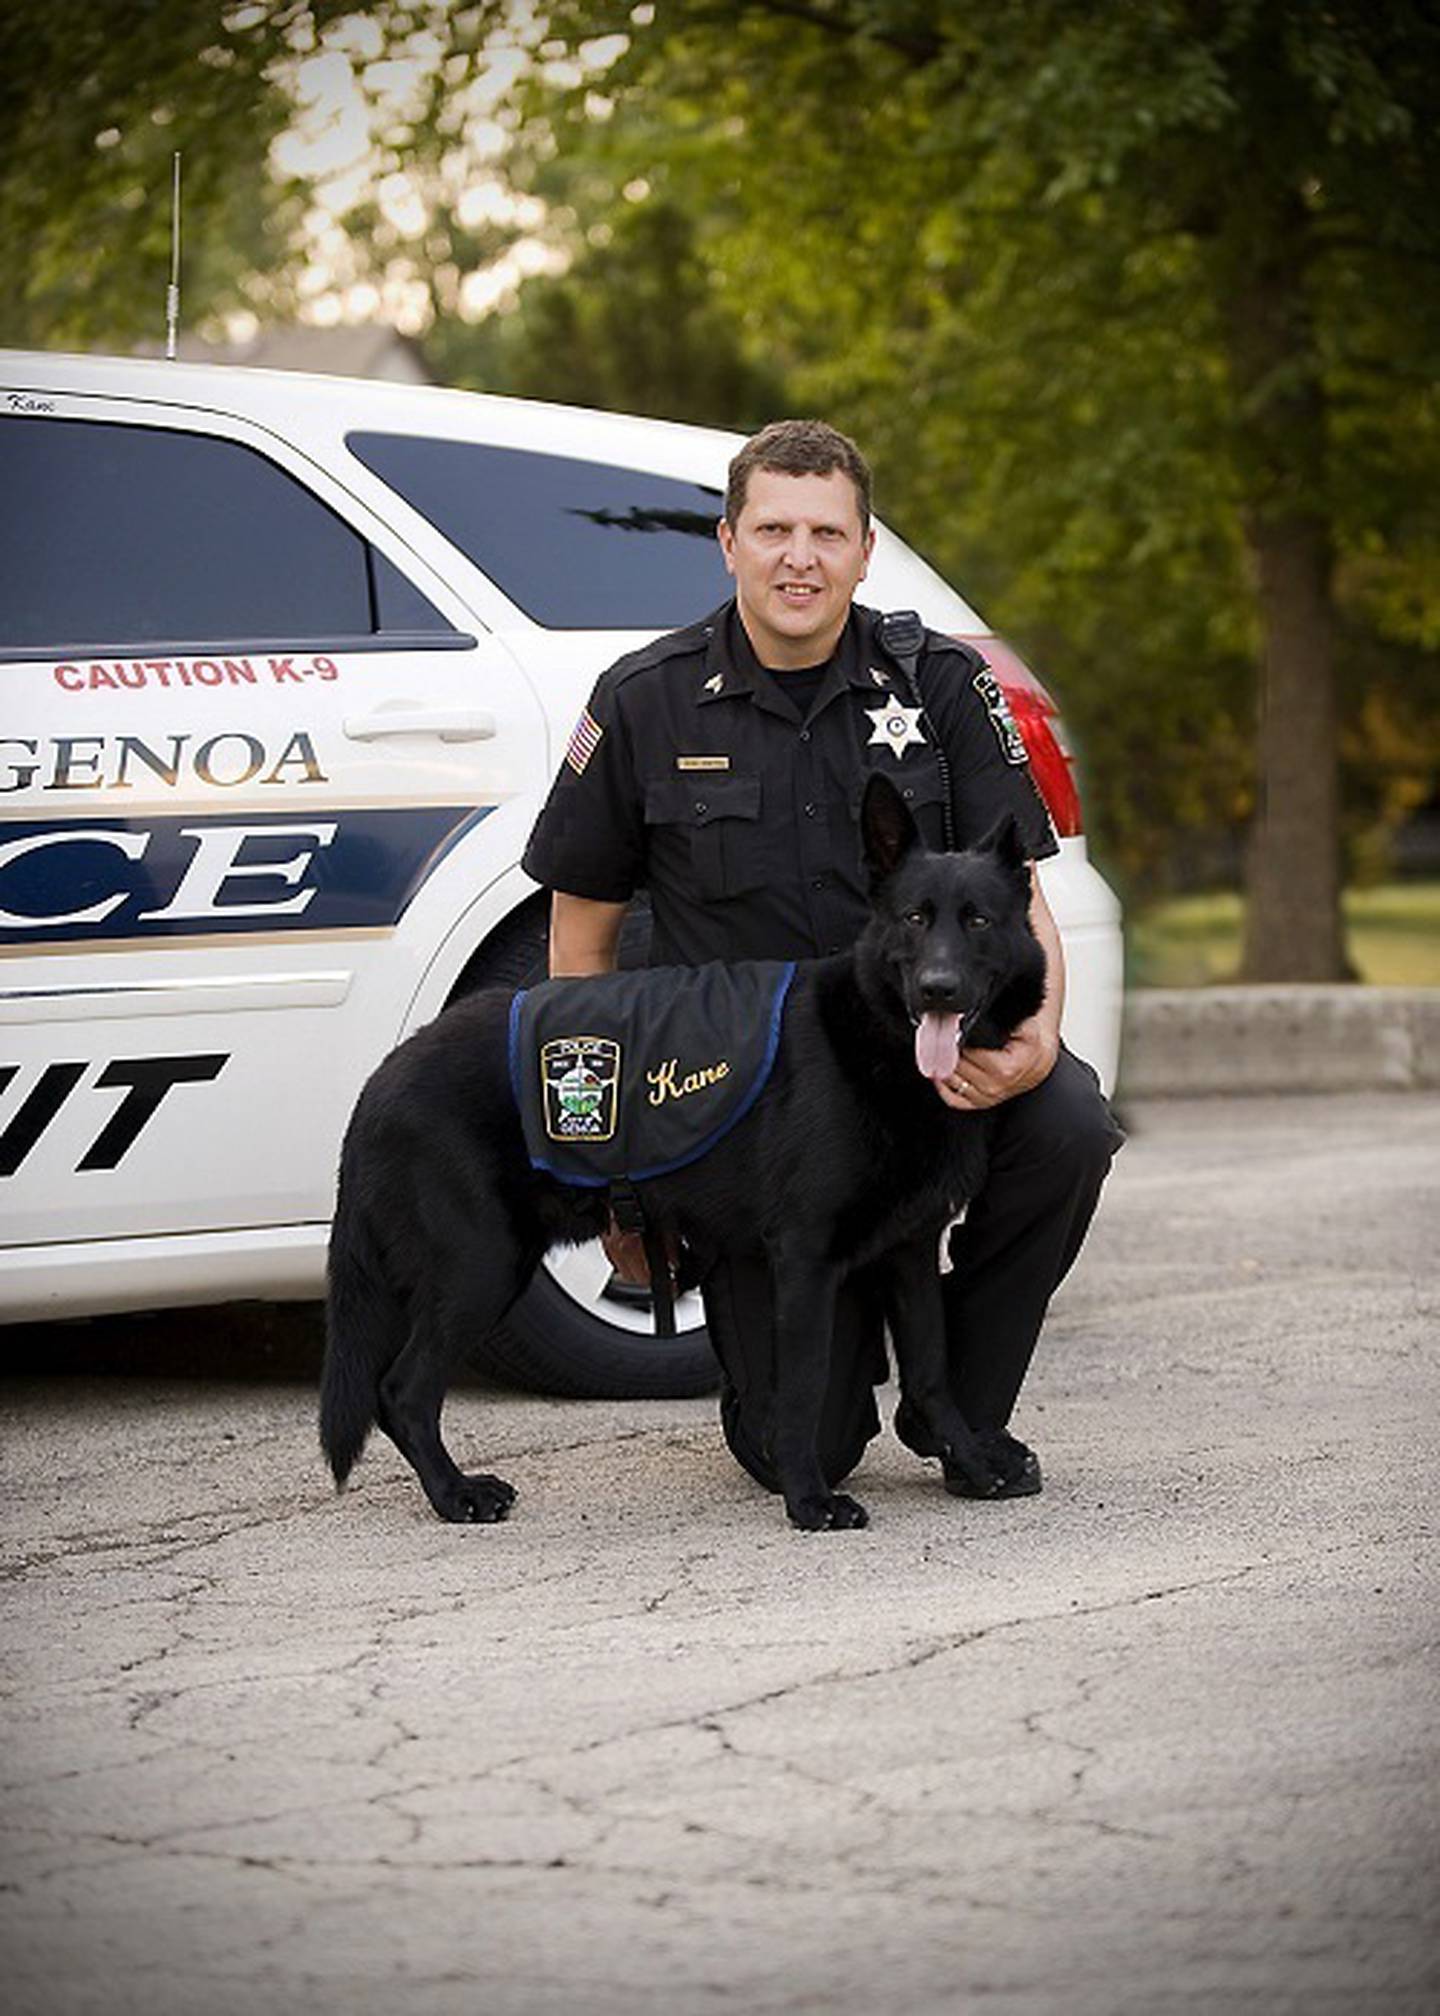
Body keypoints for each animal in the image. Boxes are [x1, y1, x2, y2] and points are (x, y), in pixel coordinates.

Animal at [320, 770, 1040, 1524]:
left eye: (978, 921)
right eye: (914, 919)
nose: (938, 990)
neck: (878, 1043)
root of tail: (381, 1077)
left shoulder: (911, 1251)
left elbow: (931, 1372)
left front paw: (972, 1463)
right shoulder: (805, 1259)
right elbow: (805, 1389)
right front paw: (809, 1500)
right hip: (482, 1264)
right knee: (402, 1390)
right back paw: (455, 1493)